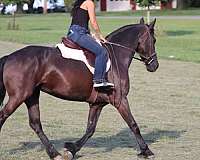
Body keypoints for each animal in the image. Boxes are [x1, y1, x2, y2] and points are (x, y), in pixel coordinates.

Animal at [0, 17, 159, 160]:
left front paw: (71, 149)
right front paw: (147, 151)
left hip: (31, 96)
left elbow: (90, 129)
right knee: (4, 116)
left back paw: (54, 154)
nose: (154, 65)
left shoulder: (97, 103)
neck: (116, 58)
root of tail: (10, 57)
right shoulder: (120, 100)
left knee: (35, 123)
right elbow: (133, 124)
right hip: (19, 96)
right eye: (154, 40)